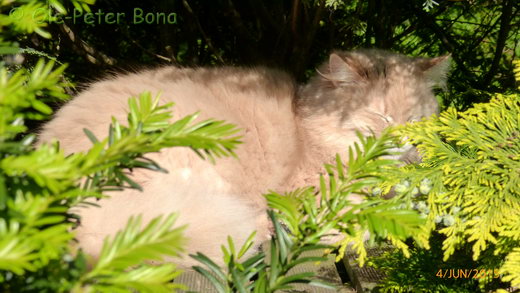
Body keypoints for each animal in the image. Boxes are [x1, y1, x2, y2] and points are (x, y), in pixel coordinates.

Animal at [37, 48, 450, 266]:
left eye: (416, 120)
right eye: (382, 118)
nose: (403, 143)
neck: (304, 121)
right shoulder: (315, 197)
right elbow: (374, 217)